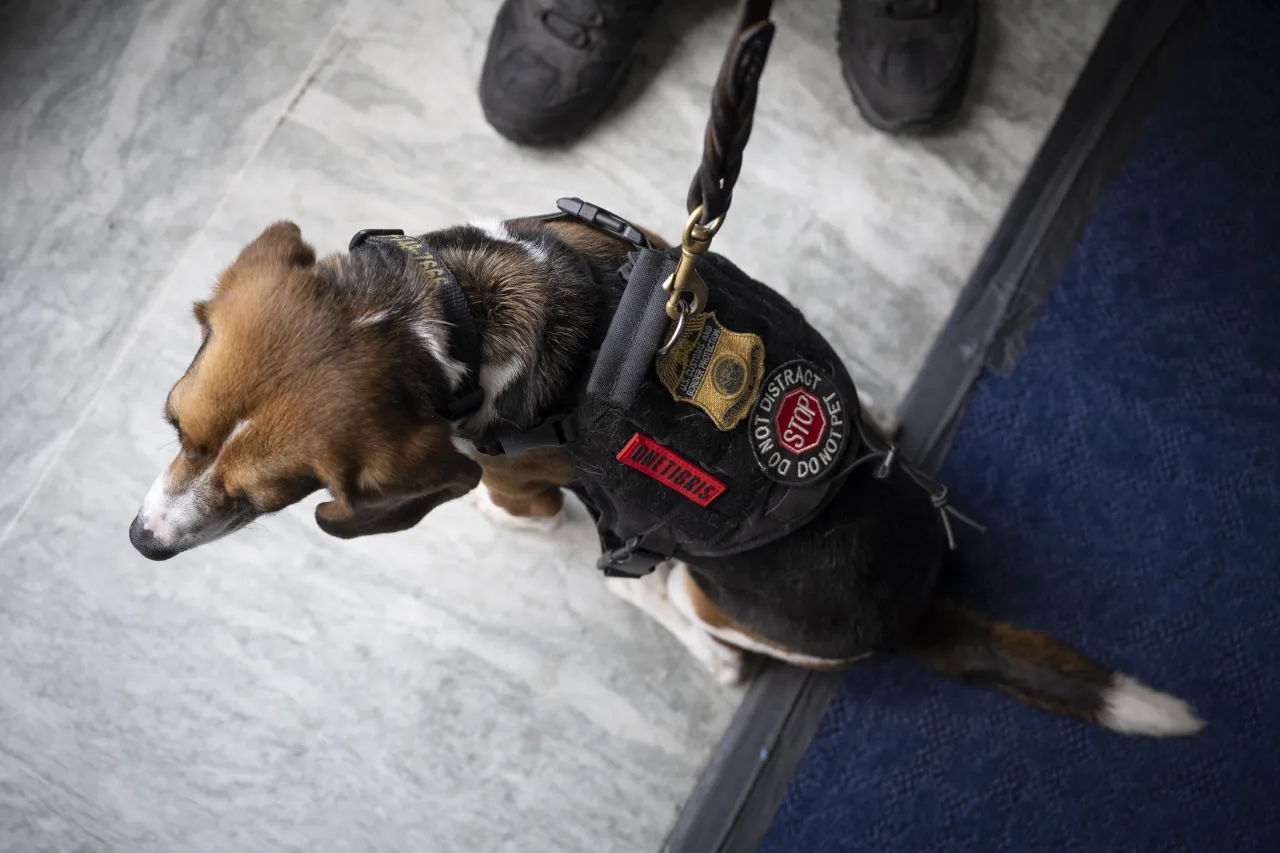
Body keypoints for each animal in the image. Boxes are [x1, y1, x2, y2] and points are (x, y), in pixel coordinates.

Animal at [132, 216, 1208, 732]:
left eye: (263, 500)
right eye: (173, 421)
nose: (142, 543)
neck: (440, 310)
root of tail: (920, 611)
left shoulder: (517, 487)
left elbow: (508, 509)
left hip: (701, 581)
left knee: (676, 609)